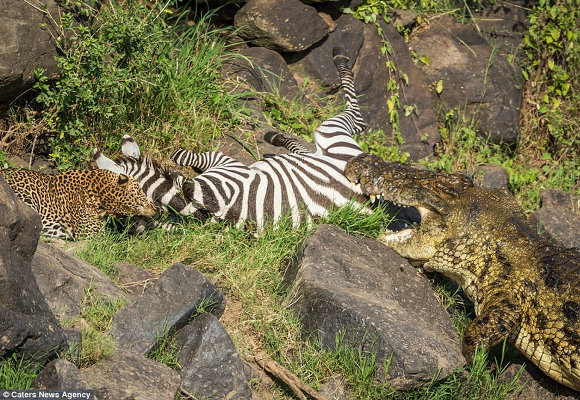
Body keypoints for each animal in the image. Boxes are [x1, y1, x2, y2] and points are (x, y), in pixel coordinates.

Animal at [170, 48, 374, 231]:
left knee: (357, 118)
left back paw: (340, 56)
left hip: (332, 133)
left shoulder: (227, 165)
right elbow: (181, 157)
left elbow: (181, 155)